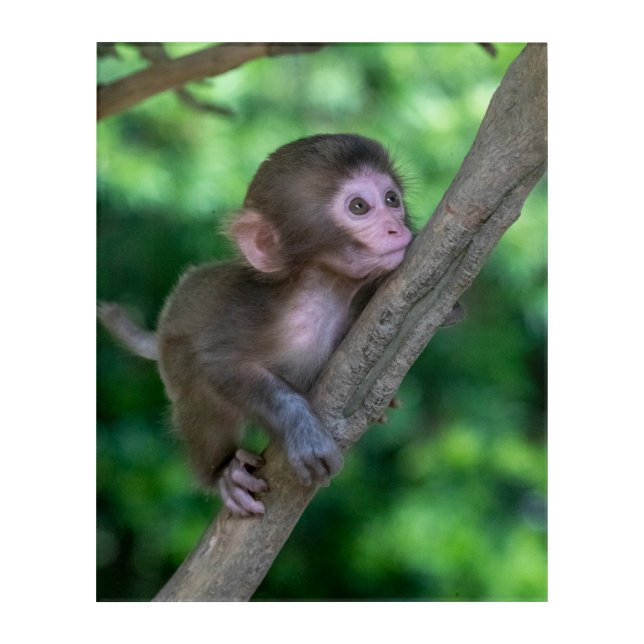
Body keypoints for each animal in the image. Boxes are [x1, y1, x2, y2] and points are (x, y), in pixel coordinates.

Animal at [100, 133, 430, 517]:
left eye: (392, 199)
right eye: (359, 207)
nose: (397, 227)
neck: (322, 296)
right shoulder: (249, 318)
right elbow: (217, 365)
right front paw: (301, 430)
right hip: (174, 356)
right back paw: (223, 473)